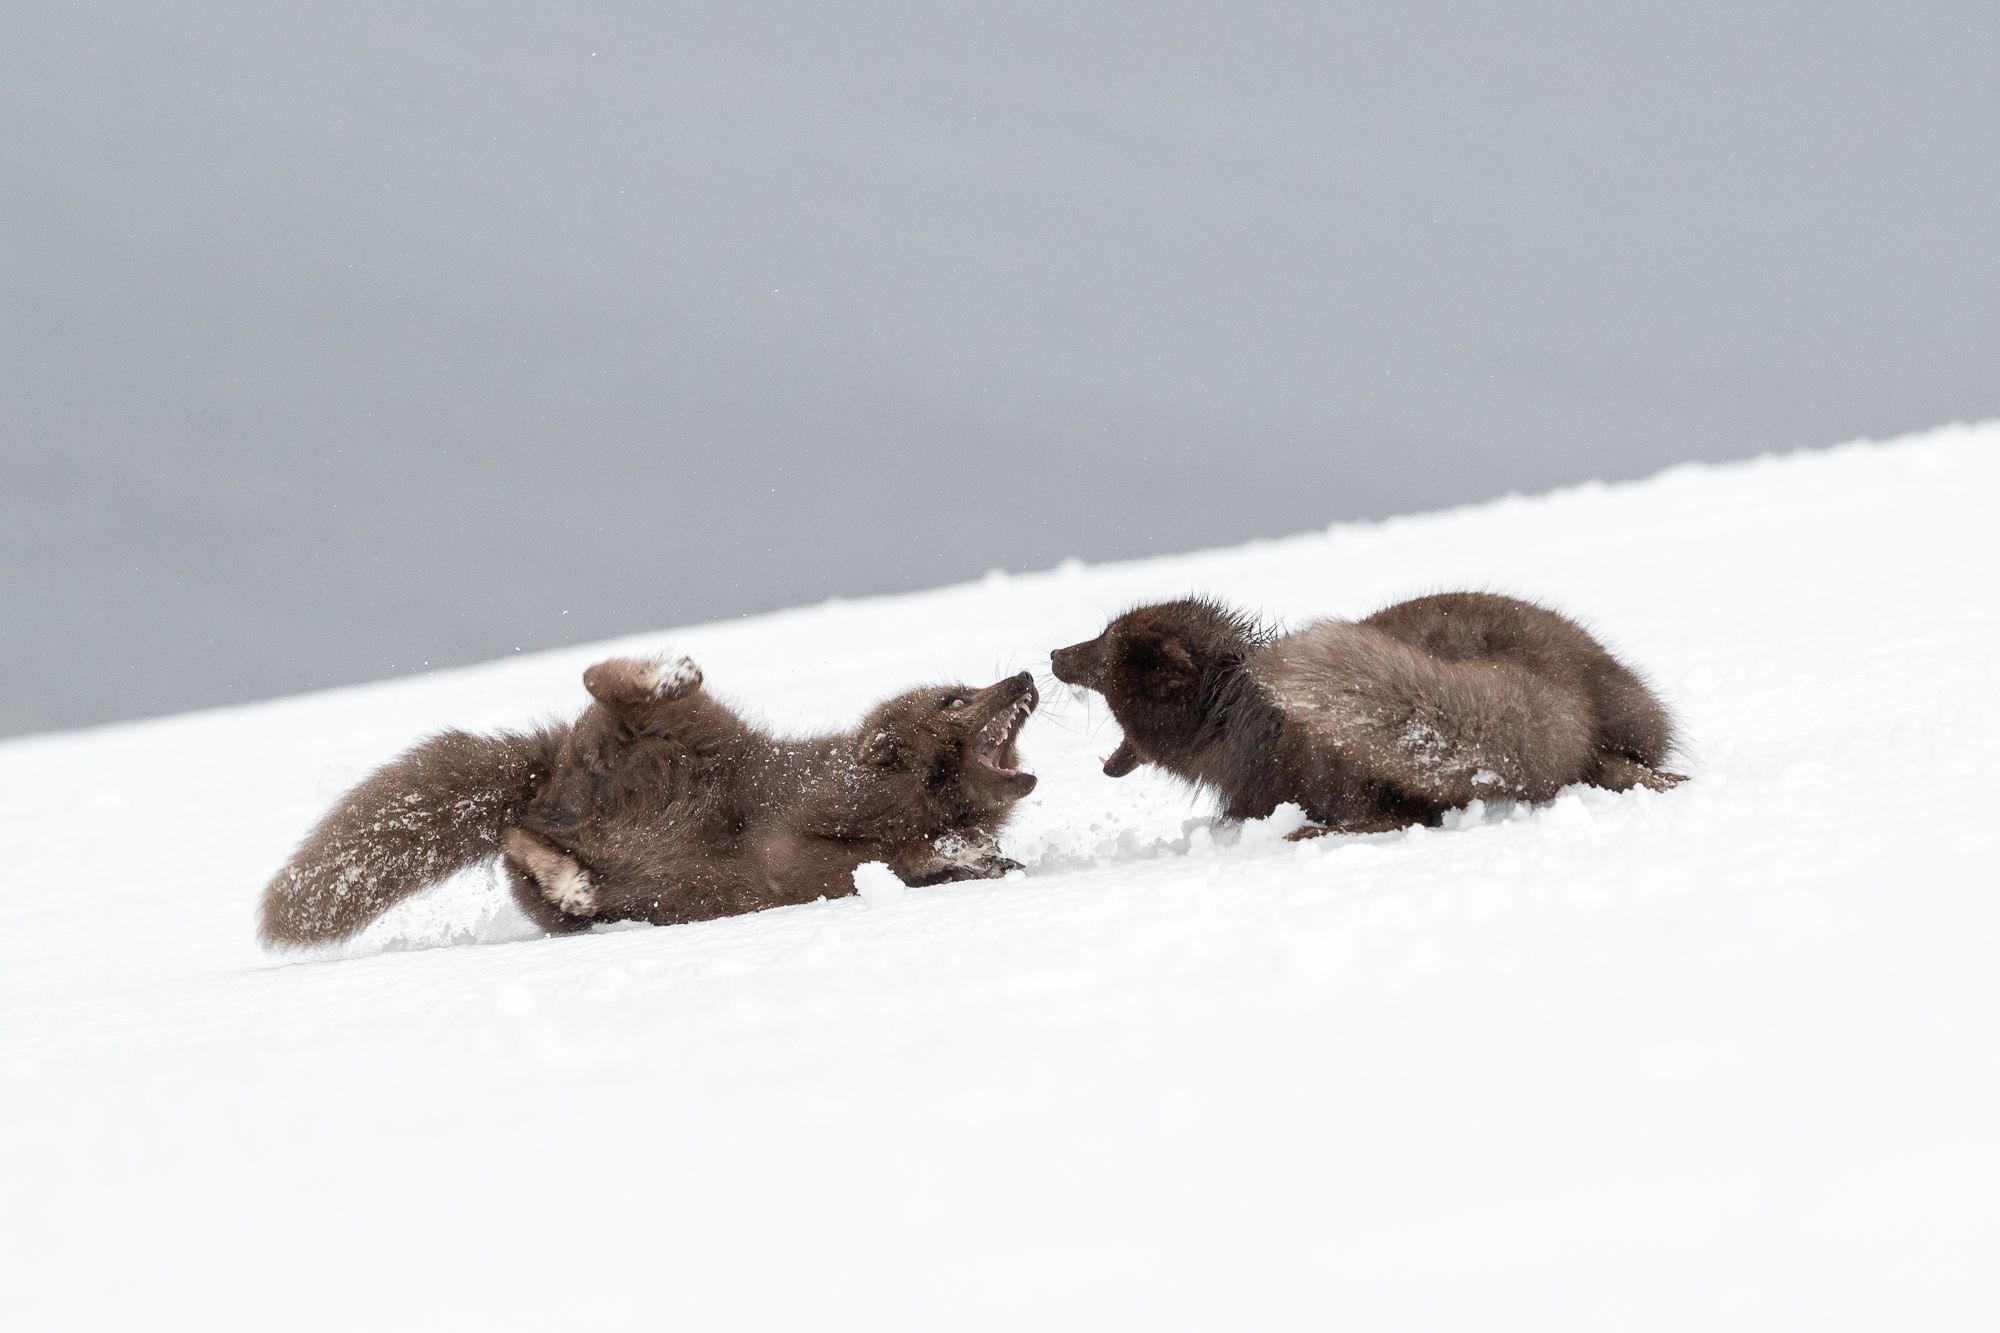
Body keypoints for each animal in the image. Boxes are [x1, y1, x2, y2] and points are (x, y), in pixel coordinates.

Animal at [258, 656, 1038, 947]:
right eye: (955, 698)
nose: (1027, 675)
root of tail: (549, 770)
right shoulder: (807, 821)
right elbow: (873, 850)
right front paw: (961, 846)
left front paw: (987, 856)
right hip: (698, 735)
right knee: (602, 681)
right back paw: (669, 672)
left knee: (519, 840)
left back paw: (573, 879)